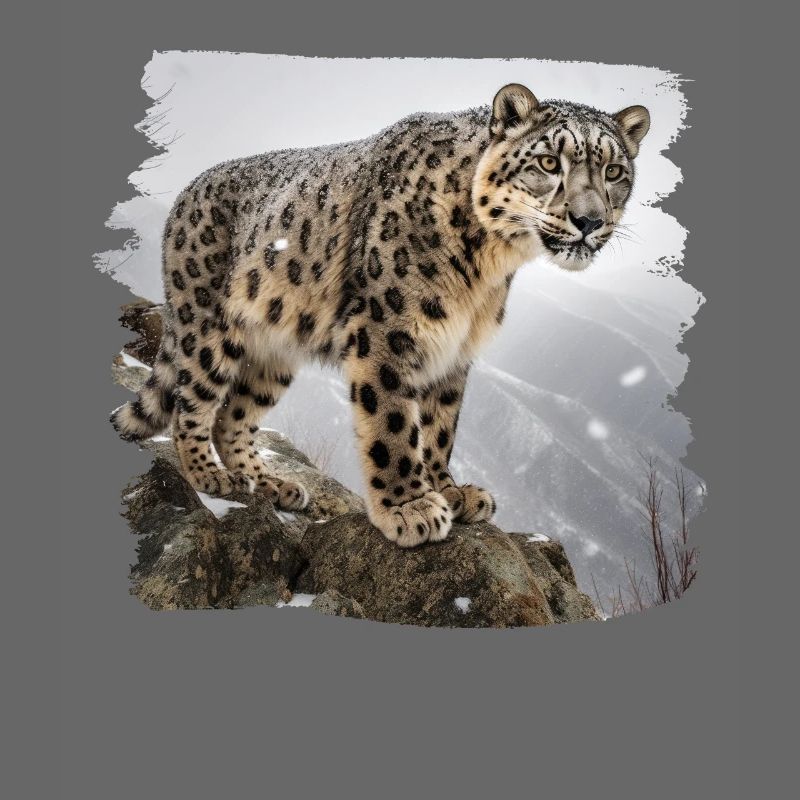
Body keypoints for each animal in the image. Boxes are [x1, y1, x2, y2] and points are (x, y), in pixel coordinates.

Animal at [112, 82, 650, 548]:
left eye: (614, 172)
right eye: (548, 161)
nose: (589, 221)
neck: (487, 268)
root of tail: (186, 192)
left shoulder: (454, 349)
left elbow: (441, 425)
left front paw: (450, 491)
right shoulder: (388, 330)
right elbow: (393, 420)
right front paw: (411, 508)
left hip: (275, 355)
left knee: (235, 417)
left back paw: (267, 483)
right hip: (208, 325)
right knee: (193, 402)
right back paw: (211, 475)